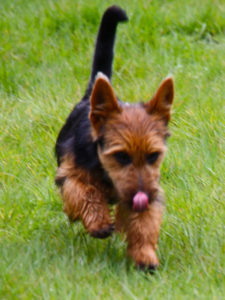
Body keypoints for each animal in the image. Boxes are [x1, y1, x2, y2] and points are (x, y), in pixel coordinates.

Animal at [54, 5, 174, 272]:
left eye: (154, 155)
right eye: (120, 156)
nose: (142, 196)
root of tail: (91, 93)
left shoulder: (150, 189)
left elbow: (145, 222)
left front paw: (144, 255)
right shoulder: (70, 175)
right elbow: (86, 193)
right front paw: (98, 223)